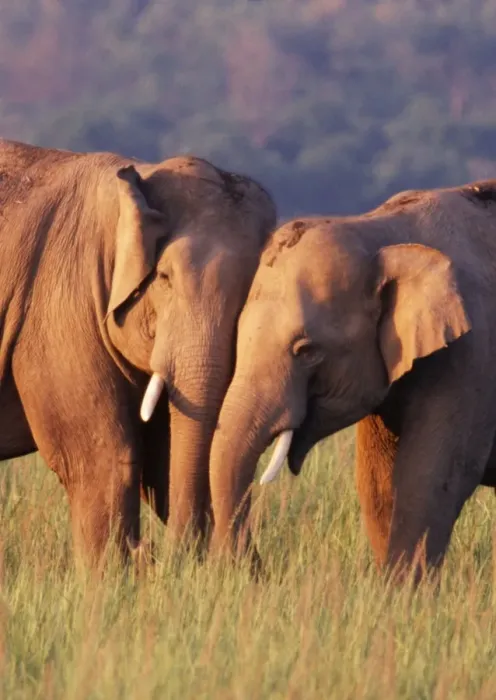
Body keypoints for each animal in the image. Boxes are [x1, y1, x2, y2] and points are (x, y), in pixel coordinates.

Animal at [0, 138, 276, 566]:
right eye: (164, 277)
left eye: (254, 290)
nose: (157, 552)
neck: (139, 178)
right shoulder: (58, 312)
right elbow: (102, 461)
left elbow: (162, 462)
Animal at [209, 181, 496, 581]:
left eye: (307, 350)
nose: (261, 572)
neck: (382, 232)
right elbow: (377, 481)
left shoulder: (471, 356)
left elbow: (434, 476)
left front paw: (402, 591)